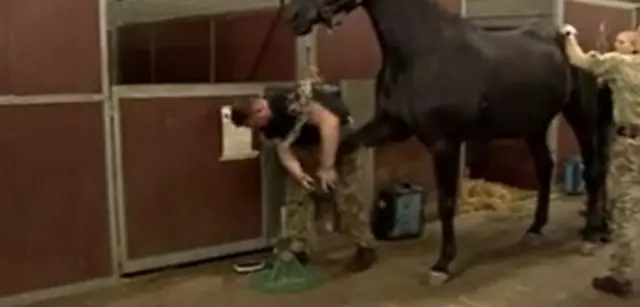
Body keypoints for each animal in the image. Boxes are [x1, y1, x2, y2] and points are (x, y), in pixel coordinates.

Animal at [284, 0, 608, 286]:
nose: (295, 17)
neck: (422, 51)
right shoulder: (389, 127)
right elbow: (340, 150)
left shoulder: (443, 144)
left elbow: (446, 204)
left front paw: (442, 265)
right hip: (535, 127)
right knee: (544, 169)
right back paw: (536, 229)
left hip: (581, 117)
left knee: (593, 170)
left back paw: (592, 235)